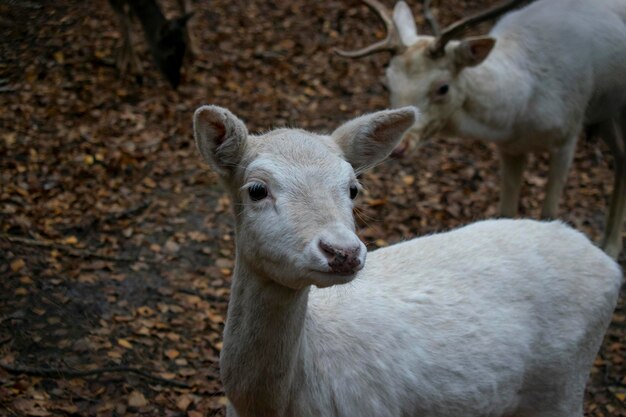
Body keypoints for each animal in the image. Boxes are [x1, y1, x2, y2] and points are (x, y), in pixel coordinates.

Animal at [336, 0, 624, 256]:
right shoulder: (510, 148)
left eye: (443, 87)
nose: (400, 147)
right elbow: (506, 212)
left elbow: (550, 212)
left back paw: (610, 248)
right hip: (604, 116)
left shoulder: (569, 133)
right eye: (387, 82)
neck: (523, 108)